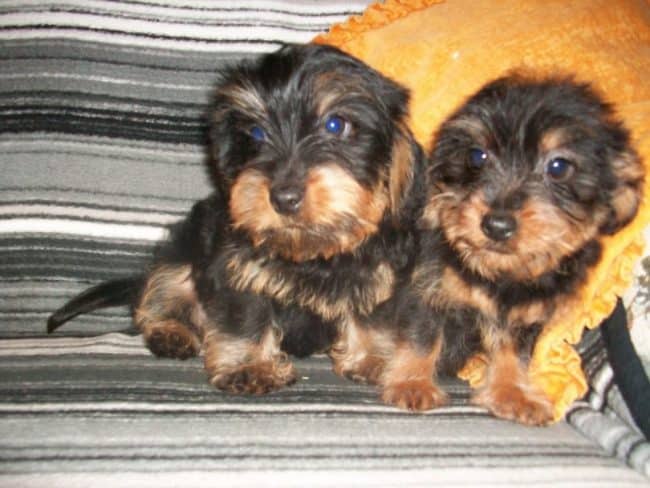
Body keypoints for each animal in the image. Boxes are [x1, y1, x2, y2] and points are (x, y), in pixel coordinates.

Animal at [46, 43, 426, 396]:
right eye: (256, 133)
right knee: (163, 292)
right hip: (183, 249)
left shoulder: (378, 272)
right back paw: (171, 331)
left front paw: (372, 357)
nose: (283, 197)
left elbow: (371, 316)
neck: (309, 251)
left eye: (336, 124)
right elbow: (246, 314)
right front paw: (250, 366)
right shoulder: (237, 267)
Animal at [362, 74, 640, 426]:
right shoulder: (426, 289)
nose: (496, 225)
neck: (498, 272)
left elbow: (513, 351)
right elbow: (421, 336)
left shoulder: (523, 313)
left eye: (559, 167)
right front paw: (411, 383)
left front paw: (512, 392)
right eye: (477, 156)